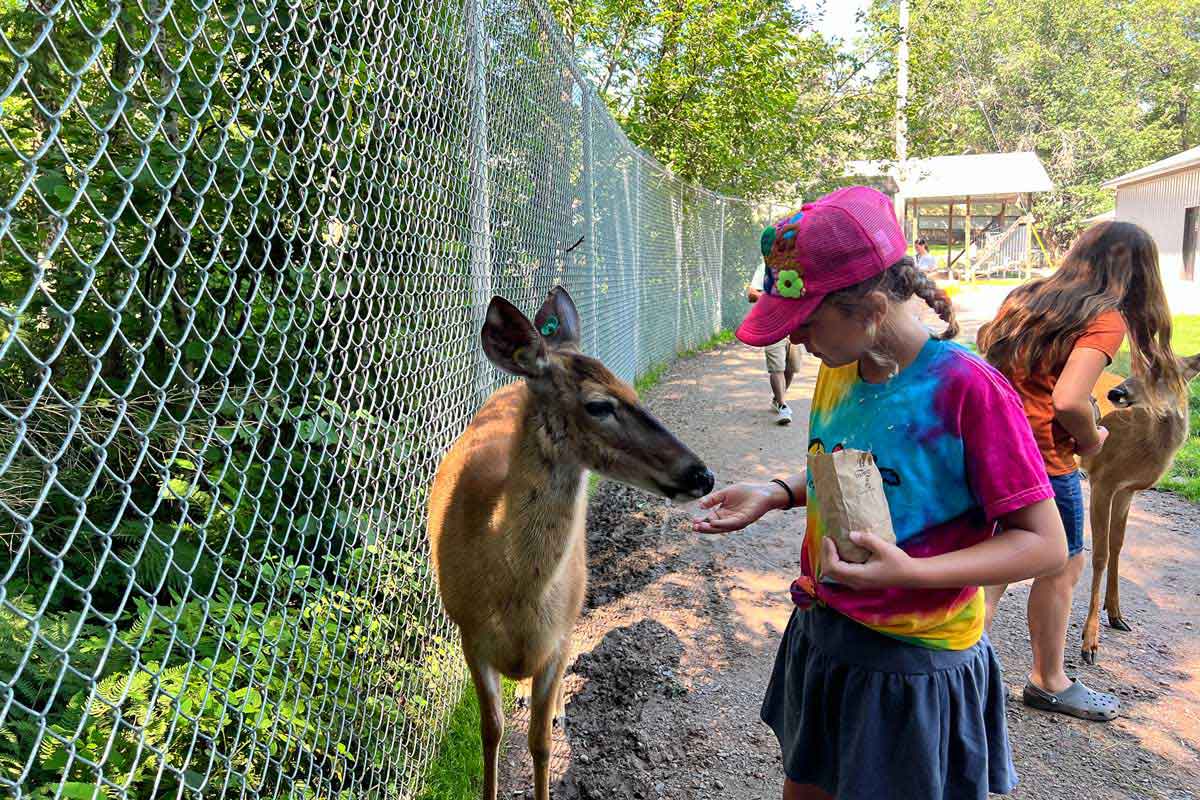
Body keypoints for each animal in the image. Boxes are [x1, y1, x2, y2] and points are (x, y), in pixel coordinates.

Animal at [429, 287, 710, 800]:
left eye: (633, 392)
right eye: (599, 405)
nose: (702, 474)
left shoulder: (557, 637)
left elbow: (540, 742)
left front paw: (550, 722)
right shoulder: (469, 634)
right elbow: (491, 731)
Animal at [1080, 352, 1200, 666]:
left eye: (1166, 372)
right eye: (1138, 365)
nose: (1116, 393)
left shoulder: (1127, 490)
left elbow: (1117, 545)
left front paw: (1116, 615)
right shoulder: (1103, 480)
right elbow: (1100, 554)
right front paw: (1090, 642)